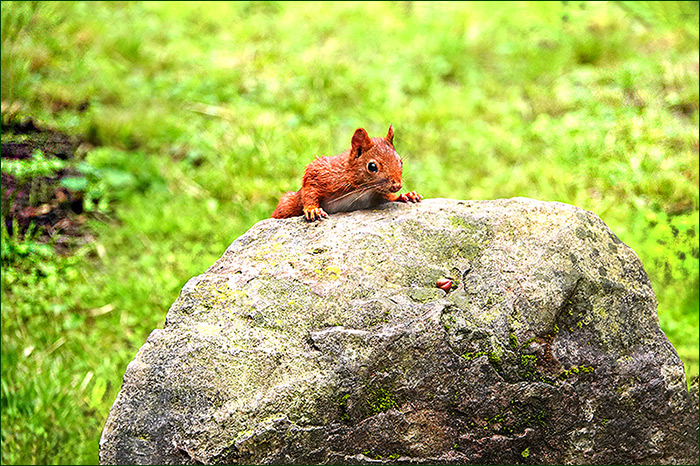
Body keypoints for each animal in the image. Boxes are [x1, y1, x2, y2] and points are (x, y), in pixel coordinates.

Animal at [272, 125, 422, 221]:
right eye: (372, 166)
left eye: (400, 161)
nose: (397, 185)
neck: (363, 190)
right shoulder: (321, 172)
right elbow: (310, 188)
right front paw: (312, 209)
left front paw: (405, 195)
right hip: (287, 204)